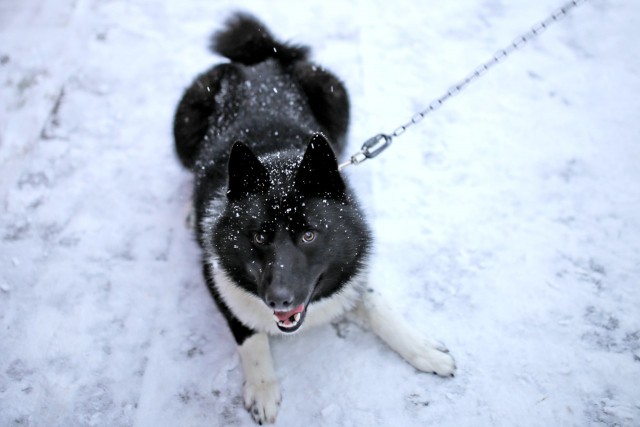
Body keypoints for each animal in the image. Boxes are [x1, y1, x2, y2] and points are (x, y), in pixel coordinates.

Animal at [172, 13, 458, 424]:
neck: (279, 160)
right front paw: (263, 387)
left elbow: (376, 303)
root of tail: (261, 61)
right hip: (185, 119)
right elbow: (248, 333)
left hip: (335, 92)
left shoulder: (353, 267)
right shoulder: (214, 276)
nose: (279, 299)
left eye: (309, 235)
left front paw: (421, 348)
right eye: (259, 237)